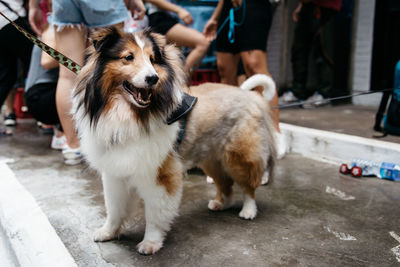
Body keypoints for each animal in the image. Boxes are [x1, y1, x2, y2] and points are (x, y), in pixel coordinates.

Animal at [72, 27, 276, 255]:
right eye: (128, 57)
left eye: (152, 59)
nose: (152, 78)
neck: (130, 113)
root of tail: (248, 95)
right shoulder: (115, 173)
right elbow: (114, 208)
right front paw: (108, 232)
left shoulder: (159, 175)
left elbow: (154, 213)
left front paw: (150, 243)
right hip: (212, 159)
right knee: (226, 184)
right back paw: (220, 203)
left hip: (239, 157)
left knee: (249, 185)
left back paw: (248, 211)